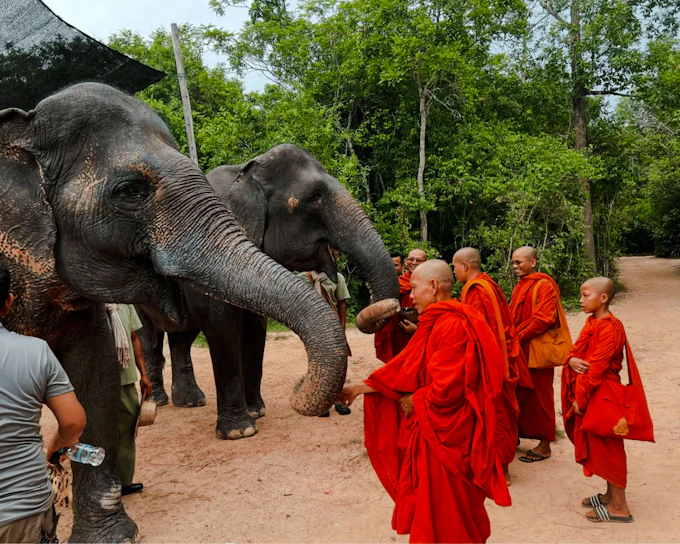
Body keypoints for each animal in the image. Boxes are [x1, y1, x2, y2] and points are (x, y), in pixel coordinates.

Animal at [138, 144, 401, 439]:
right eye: (315, 196)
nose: (299, 382)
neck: (246, 172)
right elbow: (222, 327)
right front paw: (239, 432)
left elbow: (256, 328)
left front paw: (257, 412)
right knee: (149, 336)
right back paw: (158, 401)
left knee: (182, 337)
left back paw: (191, 402)